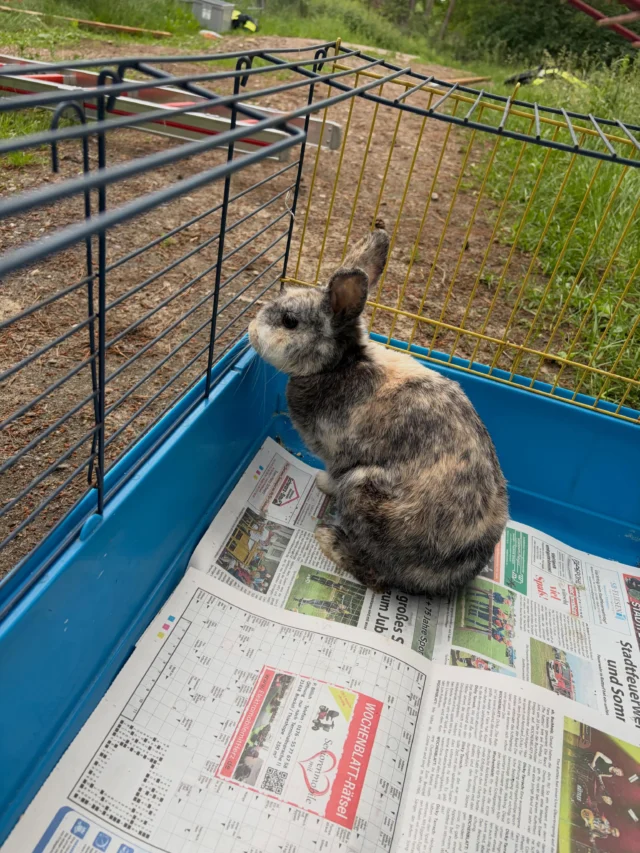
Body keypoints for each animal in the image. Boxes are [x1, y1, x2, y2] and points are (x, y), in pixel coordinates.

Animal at [248, 220, 508, 596]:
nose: (250, 331)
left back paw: (328, 538)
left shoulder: (340, 456)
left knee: (376, 575)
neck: (339, 366)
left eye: (289, 321)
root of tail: (454, 572)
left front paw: (323, 483)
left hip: (363, 489)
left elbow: (334, 471)